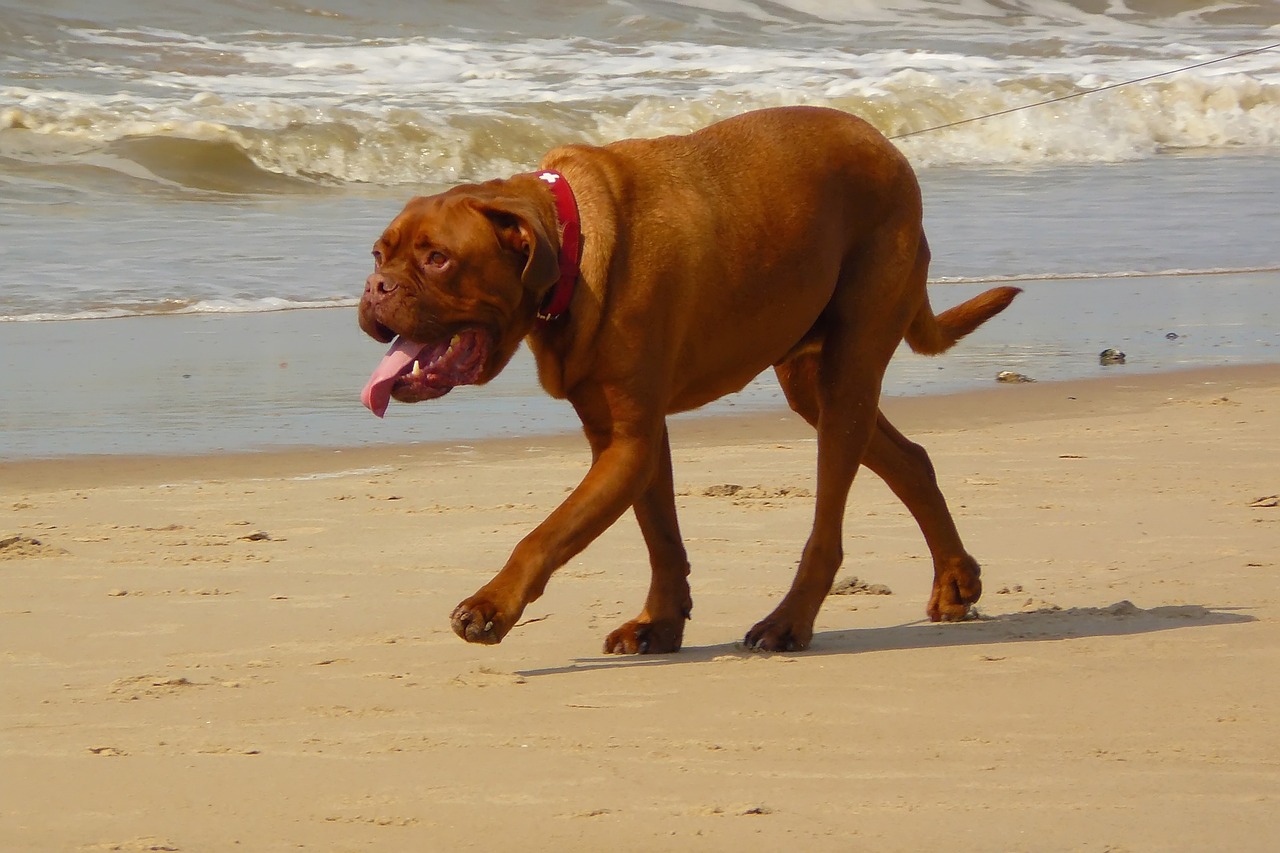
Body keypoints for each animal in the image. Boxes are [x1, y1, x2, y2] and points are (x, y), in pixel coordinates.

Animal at [360, 106, 1018, 650]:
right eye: (378, 254)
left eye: (438, 259)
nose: (376, 287)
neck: (569, 245)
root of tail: (890, 150)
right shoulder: (626, 440)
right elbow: (661, 538)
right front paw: (661, 622)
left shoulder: (629, 443)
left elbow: (545, 535)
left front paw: (491, 606)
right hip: (814, 382)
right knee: (910, 460)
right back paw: (955, 581)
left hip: (849, 371)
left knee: (827, 526)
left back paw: (788, 622)